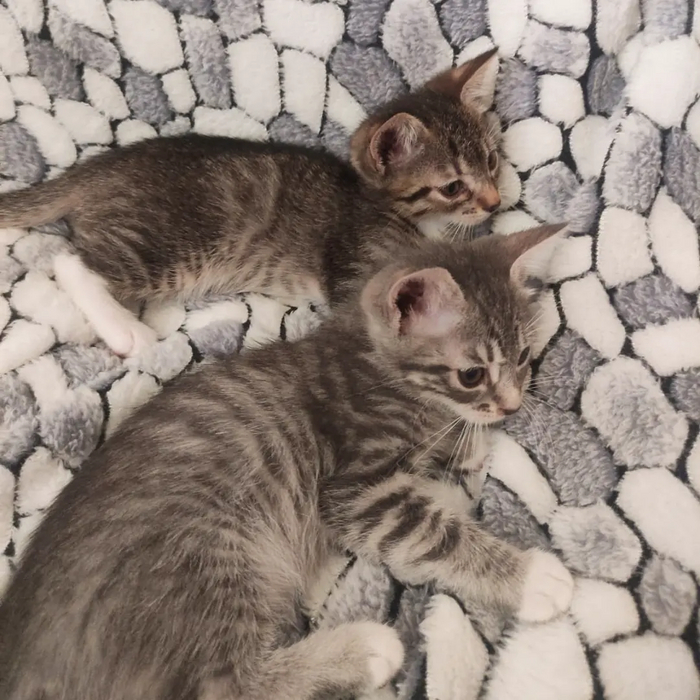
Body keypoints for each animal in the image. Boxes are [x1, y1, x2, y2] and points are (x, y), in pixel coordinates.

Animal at [0, 50, 502, 359]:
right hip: (163, 243)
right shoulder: (352, 270)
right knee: (70, 261)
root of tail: (104, 165)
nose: (495, 203)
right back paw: (127, 329)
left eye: (492, 161)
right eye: (453, 187)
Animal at [0, 224, 574, 700]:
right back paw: (365, 649)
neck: (375, 367)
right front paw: (529, 577)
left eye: (524, 358)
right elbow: (435, 531)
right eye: (472, 374)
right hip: (211, 558)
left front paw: (468, 450)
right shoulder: (358, 489)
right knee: (223, 688)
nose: (512, 405)